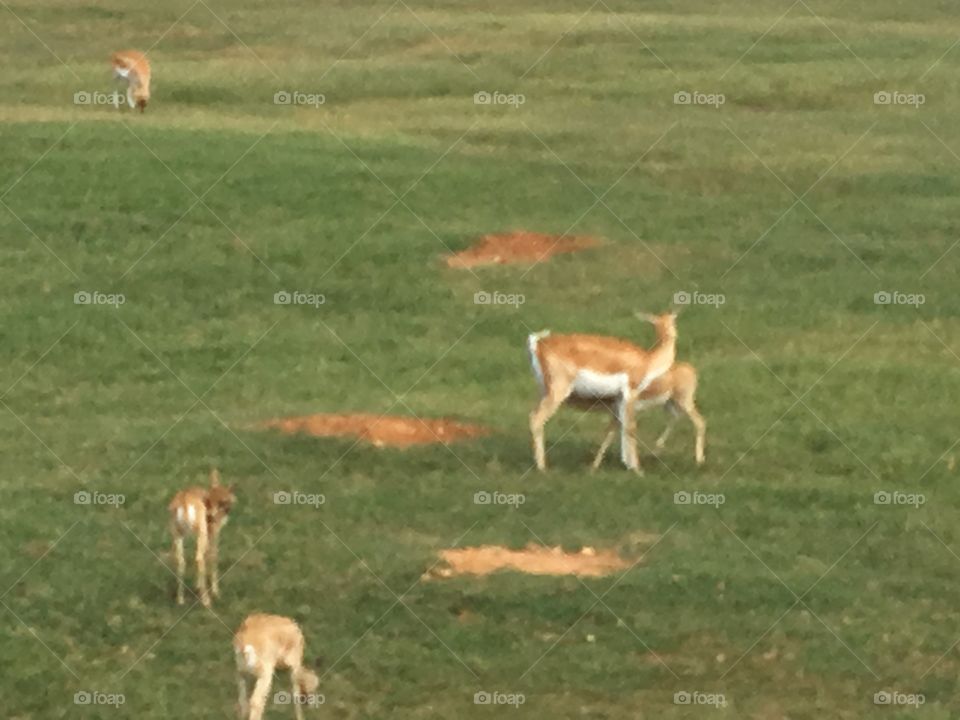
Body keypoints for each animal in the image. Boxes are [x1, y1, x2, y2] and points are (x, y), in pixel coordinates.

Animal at [169, 469, 235, 608]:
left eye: (222, 501)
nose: (212, 516)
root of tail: (184, 501)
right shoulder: (213, 533)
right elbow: (213, 556)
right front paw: (216, 592)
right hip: (201, 532)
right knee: (199, 558)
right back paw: (206, 601)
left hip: (177, 534)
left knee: (180, 561)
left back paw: (180, 600)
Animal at [528, 310, 678, 473]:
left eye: (670, 319)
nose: (673, 334)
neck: (647, 360)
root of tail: (539, 344)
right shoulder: (630, 394)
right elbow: (631, 427)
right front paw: (638, 470)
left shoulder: (619, 401)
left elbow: (615, 429)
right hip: (557, 393)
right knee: (536, 418)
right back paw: (543, 468)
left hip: (544, 392)